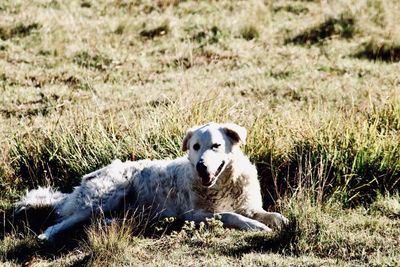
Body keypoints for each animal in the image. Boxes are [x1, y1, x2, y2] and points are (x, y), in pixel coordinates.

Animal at [15, 123, 290, 243]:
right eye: (195, 147)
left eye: (215, 146)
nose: (201, 166)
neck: (221, 185)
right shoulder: (194, 214)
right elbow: (230, 215)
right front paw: (256, 227)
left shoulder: (249, 206)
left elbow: (271, 214)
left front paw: (282, 222)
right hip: (106, 196)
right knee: (62, 222)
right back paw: (46, 236)